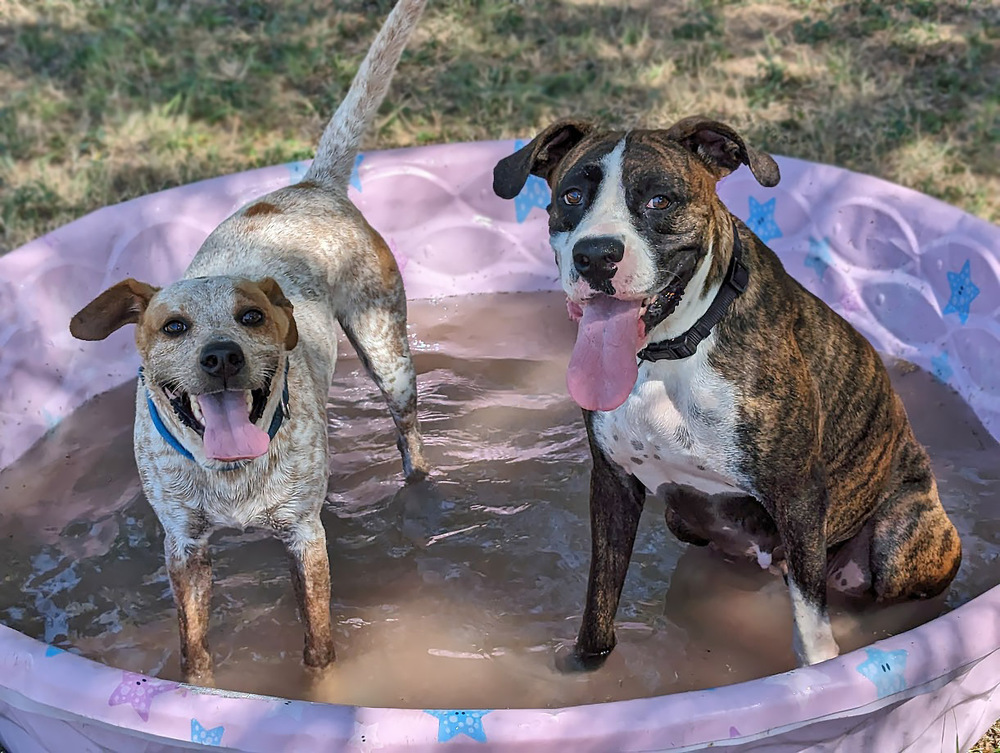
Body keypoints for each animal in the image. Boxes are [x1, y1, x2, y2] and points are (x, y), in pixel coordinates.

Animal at [492, 119, 960, 668]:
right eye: (571, 196)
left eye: (659, 201)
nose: (596, 256)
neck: (673, 350)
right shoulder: (613, 484)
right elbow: (599, 605)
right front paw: (585, 668)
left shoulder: (799, 494)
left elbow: (812, 628)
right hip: (686, 522)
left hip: (897, 542)